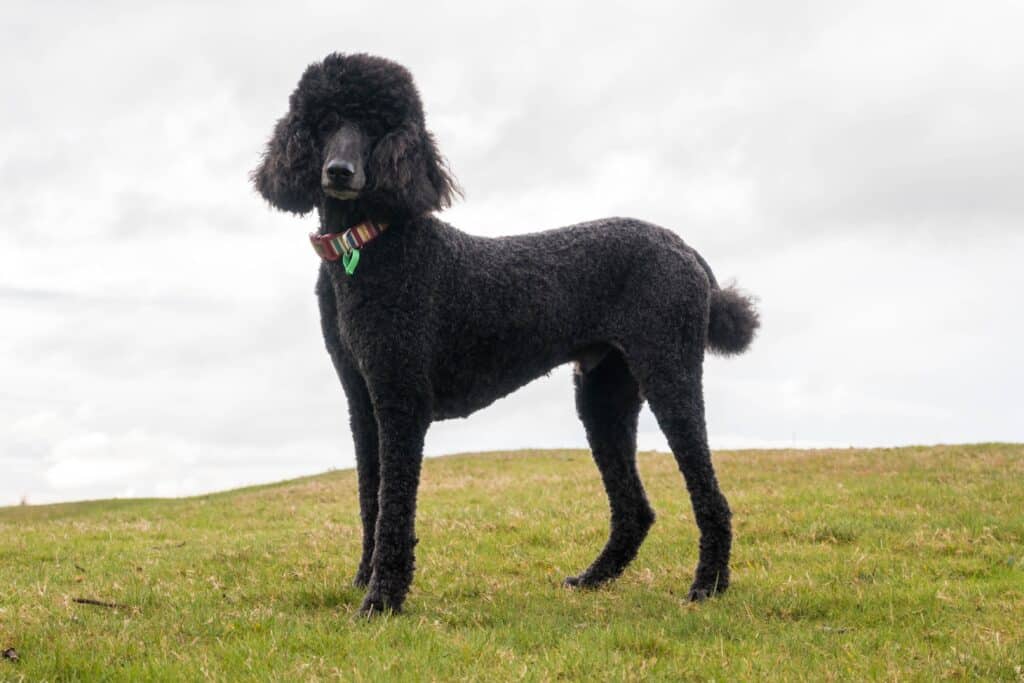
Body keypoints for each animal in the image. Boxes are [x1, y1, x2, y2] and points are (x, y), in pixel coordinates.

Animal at [251, 53, 757, 614]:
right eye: (324, 122)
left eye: (377, 125)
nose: (338, 171)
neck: (368, 246)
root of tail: (684, 248)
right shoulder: (362, 401)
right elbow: (370, 497)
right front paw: (364, 580)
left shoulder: (401, 397)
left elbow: (395, 506)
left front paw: (382, 600)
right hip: (603, 392)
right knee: (635, 509)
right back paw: (593, 579)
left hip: (670, 371)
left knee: (711, 497)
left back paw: (708, 585)